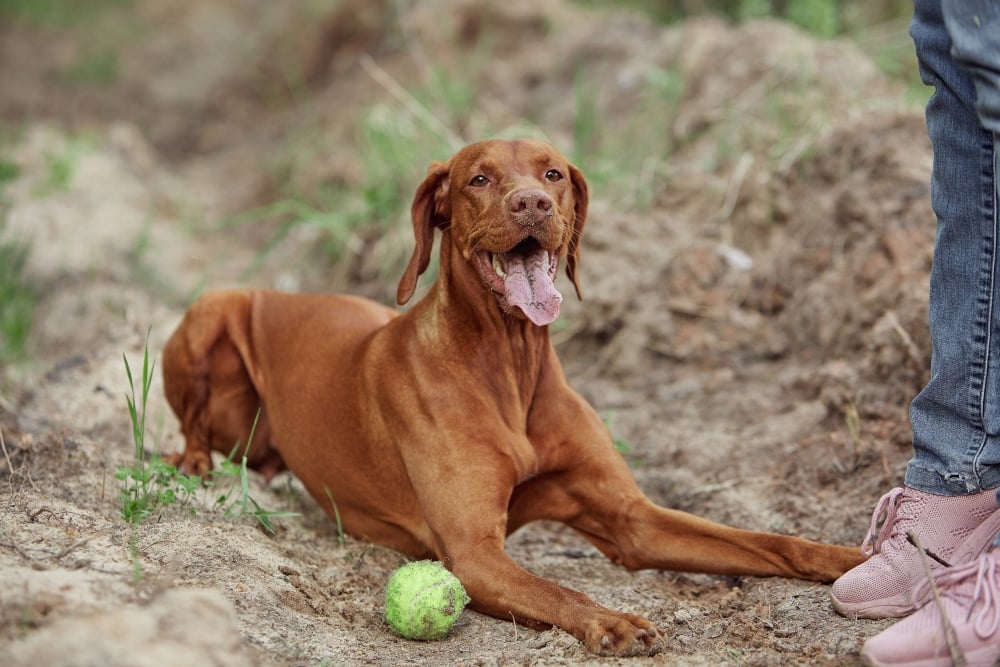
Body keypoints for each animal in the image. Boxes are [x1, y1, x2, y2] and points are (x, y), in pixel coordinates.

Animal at [160, 138, 864, 656]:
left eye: (553, 174)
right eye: (478, 179)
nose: (532, 204)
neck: (509, 365)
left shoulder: (631, 520)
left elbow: (770, 542)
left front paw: (853, 556)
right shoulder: (473, 553)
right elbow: (558, 593)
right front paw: (613, 621)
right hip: (212, 309)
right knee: (194, 426)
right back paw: (196, 466)